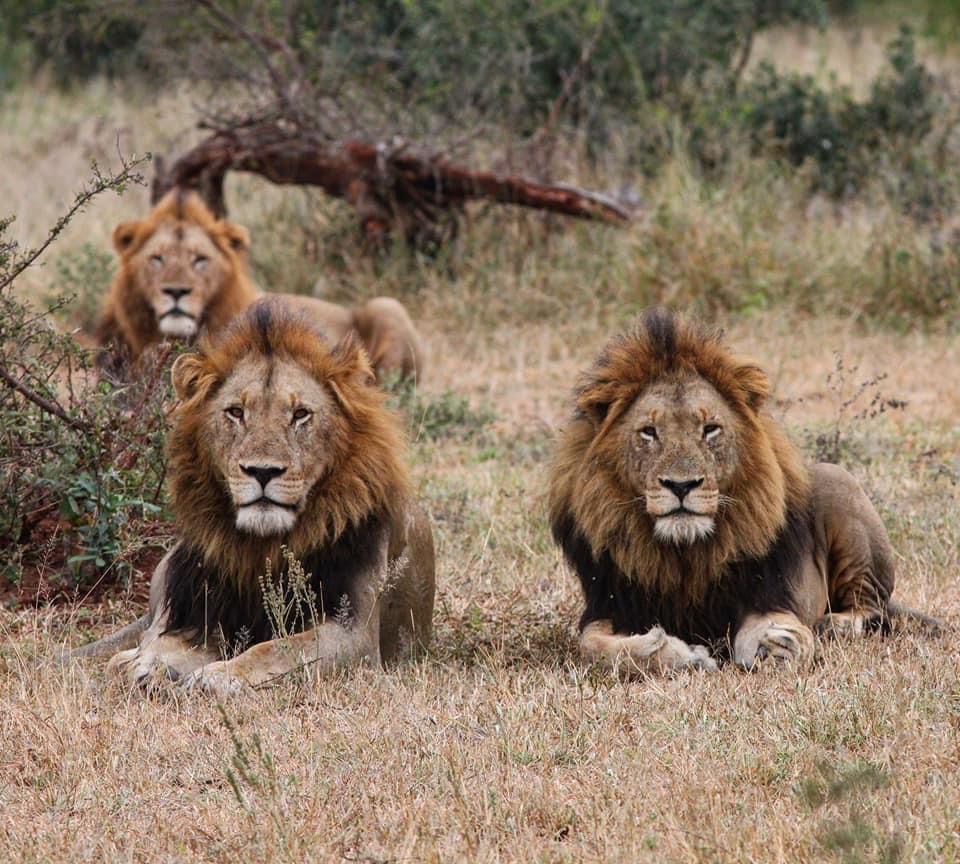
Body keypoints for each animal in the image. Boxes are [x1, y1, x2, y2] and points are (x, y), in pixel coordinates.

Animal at [71, 299, 435, 694]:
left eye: (300, 414)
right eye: (236, 412)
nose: (262, 472)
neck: (261, 548)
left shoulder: (355, 634)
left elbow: (277, 649)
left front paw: (219, 675)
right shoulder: (199, 613)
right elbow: (163, 644)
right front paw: (147, 665)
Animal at [548, 308, 936, 675]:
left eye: (710, 429)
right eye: (649, 432)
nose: (681, 485)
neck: (684, 555)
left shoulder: (766, 594)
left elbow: (778, 625)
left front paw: (780, 646)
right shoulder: (608, 604)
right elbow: (592, 648)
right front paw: (678, 655)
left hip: (838, 481)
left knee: (871, 607)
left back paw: (835, 625)